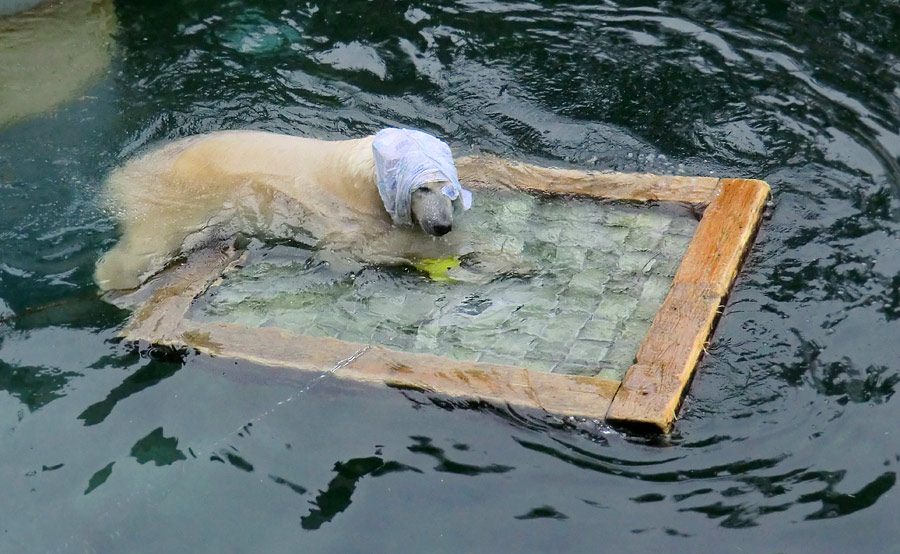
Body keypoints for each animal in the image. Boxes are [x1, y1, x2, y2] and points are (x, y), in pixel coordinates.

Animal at [95, 129, 474, 292]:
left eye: (450, 191)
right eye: (422, 188)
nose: (441, 225)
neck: (361, 175)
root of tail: (119, 178)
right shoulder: (339, 209)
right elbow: (363, 248)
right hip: (176, 200)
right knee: (148, 244)